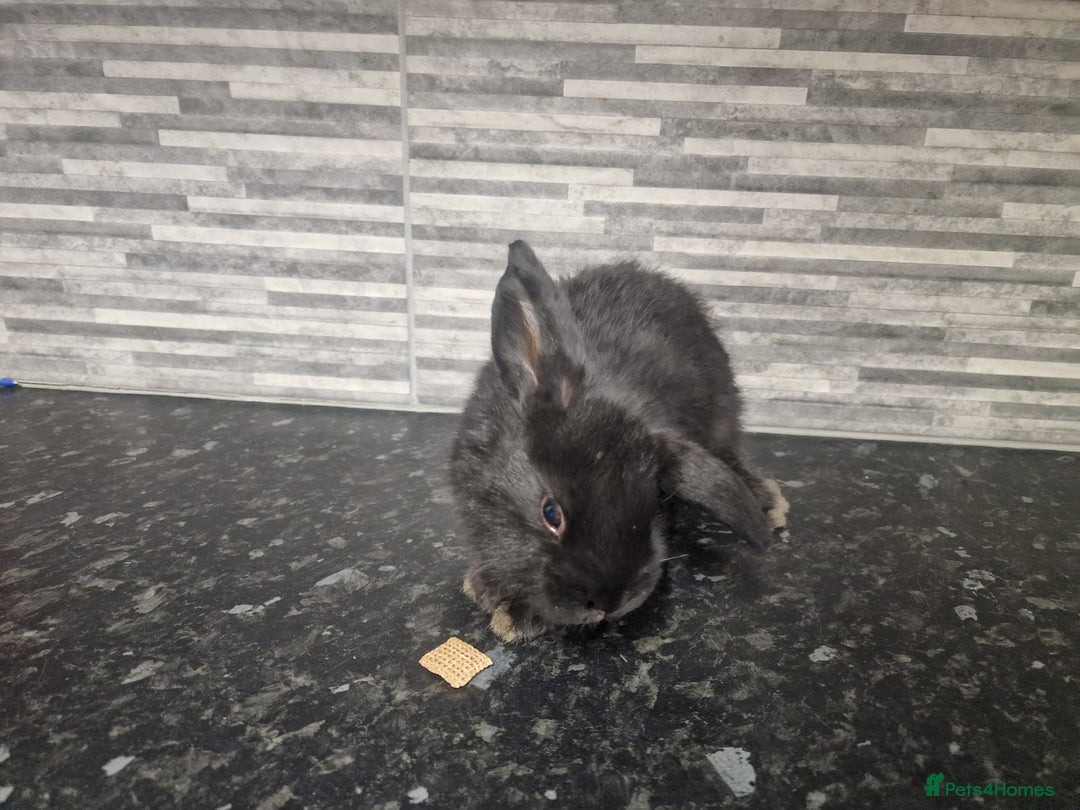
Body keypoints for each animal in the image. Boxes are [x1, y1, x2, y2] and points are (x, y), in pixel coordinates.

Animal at [450, 240, 788, 642]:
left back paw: (768, 501)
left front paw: (515, 618)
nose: (610, 601)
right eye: (551, 513)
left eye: (656, 496)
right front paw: (483, 587)